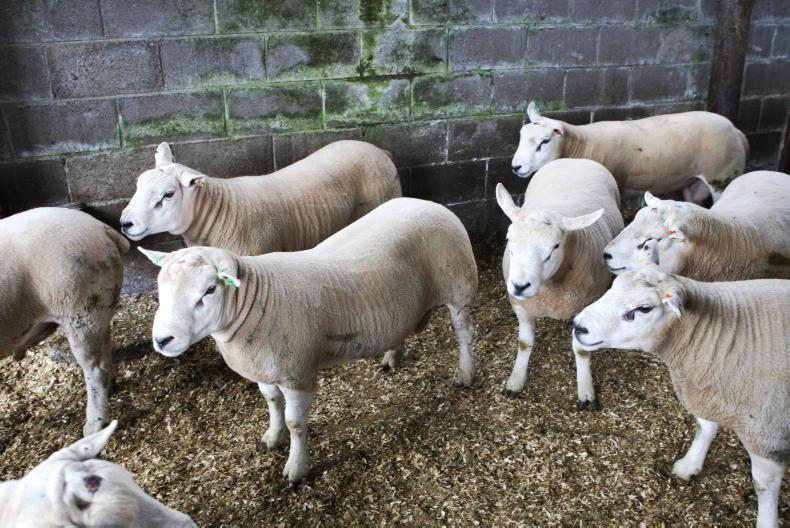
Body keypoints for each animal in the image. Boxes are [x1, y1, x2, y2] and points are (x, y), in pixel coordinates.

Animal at [0, 207, 128, 436]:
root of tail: (100, 228)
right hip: (99, 308)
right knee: (105, 351)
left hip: (79, 310)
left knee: (95, 368)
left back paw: (94, 425)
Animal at [139, 197, 478, 483]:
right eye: (160, 286)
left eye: (210, 290)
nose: (163, 339)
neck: (254, 300)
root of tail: (430, 203)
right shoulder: (263, 367)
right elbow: (271, 403)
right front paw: (272, 437)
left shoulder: (297, 375)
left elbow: (296, 424)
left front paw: (296, 467)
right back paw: (392, 356)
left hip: (458, 286)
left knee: (464, 333)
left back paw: (465, 374)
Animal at [496, 158, 623, 409]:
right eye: (508, 239)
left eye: (555, 247)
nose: (520, 286)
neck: (549, 291)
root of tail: (577, 159)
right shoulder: (521, 306)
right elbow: (524, 343)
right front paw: (516, 381)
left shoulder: (584, 308)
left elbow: (582, 351)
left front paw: (586, 393)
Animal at [511, 102, 748, 200]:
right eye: (520, 135)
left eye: (544, 141)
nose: (516, 167)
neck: (582, 145)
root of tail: (736, 130)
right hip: (693, 183)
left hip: (723, 177)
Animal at [572, 266, 790, 528]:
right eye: (613, 285)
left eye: (644, 308)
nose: (578, 326)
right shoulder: (707, 392)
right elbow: (705, 427)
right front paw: (689, 465)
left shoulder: (766, 435)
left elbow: (763, 486)